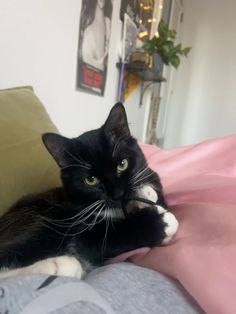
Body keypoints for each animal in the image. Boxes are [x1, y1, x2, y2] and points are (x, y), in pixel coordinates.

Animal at [0, 103, 178, 280]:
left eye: (122, 164)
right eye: (91, 180)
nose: (118, 194)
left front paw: (146, 192)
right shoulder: (80, 227)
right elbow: (107, 237)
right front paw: (161, 222)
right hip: (42, 217)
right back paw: (60, 265)